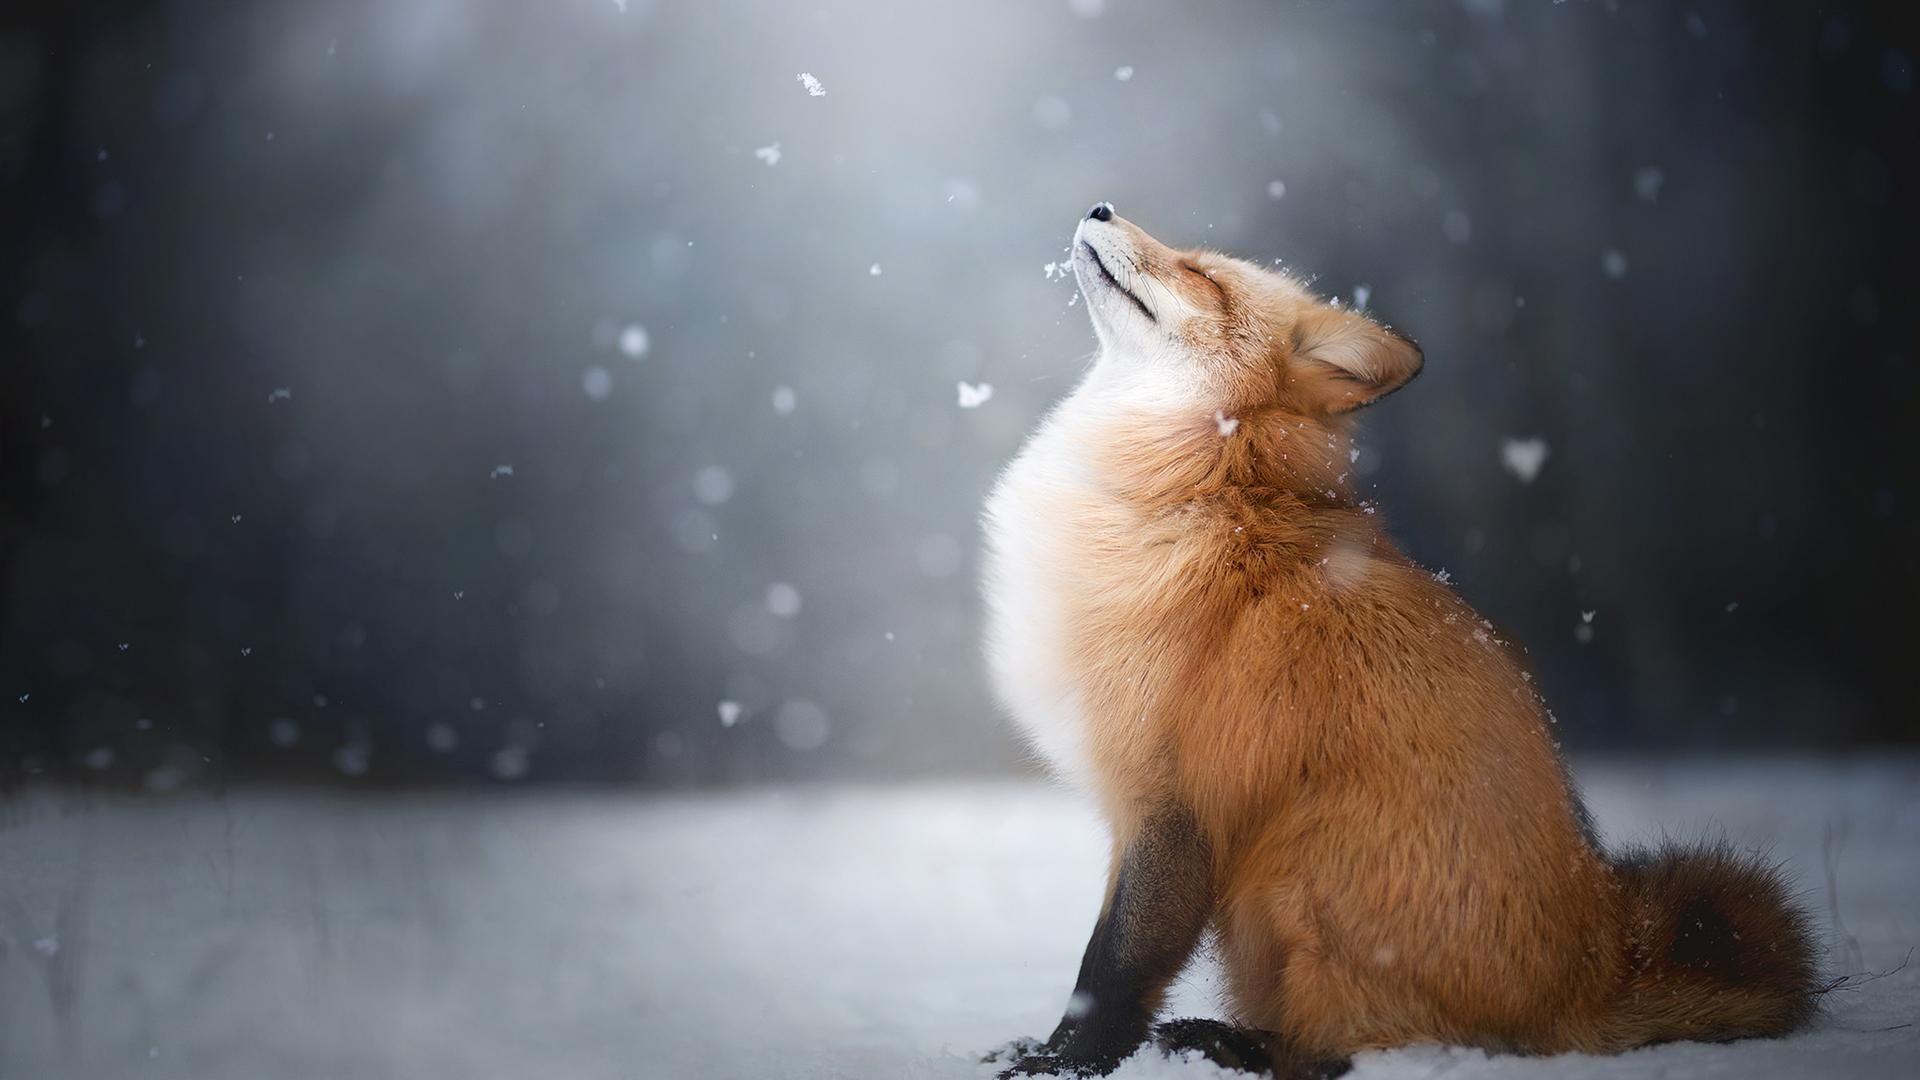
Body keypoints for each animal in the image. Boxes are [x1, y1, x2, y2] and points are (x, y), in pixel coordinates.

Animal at [978, 203, 1819, 1078]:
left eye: (1202, 274)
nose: (1101, 209)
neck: (1208, 483)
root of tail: (1595, 972)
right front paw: (1047, 1051)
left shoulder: (1174, 802)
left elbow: (1111, 968)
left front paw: (1061, 1063)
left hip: (1293, 868)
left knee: (1336, 1052)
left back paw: (1229, 1043)